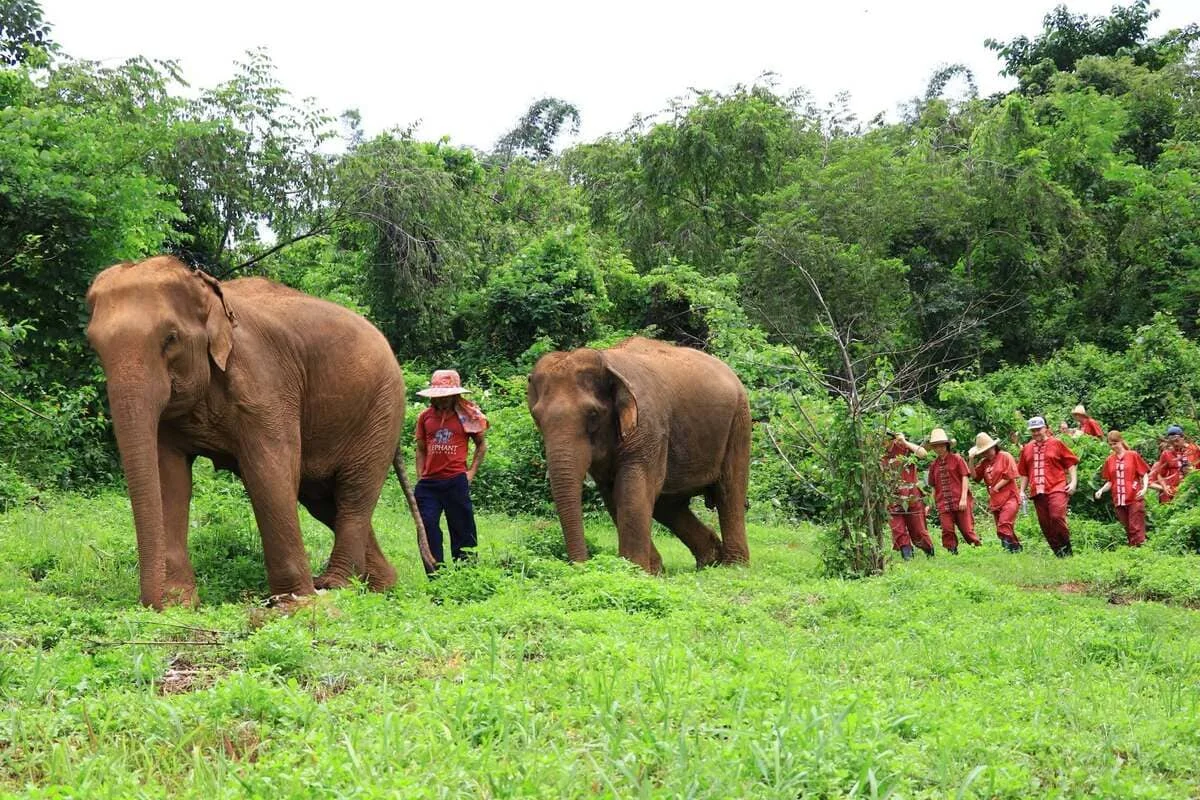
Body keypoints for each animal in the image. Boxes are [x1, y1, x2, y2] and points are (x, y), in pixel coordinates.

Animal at [85, 255, 433, 609]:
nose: (154, 604)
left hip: (381, 410)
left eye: (171, 339)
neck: (208, 291)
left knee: (354, 493)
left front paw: (294, 602)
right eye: (94, 346)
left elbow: (269, 473)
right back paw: (380, 587)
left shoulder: (264, 382)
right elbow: (169, 478)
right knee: (323, 500)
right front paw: (180, 603)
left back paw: (336, 586)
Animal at [526, 337, 750, 573]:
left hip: (739, 420)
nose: (582, 566)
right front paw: (652, 571)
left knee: (729, 491)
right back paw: (710, 561)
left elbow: (631, 488)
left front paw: (633, 570)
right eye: (536, 417)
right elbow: (613, 494)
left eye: (593, 414)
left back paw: (734, 566)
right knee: (668, 505)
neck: (606, 360)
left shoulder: (648, 426)